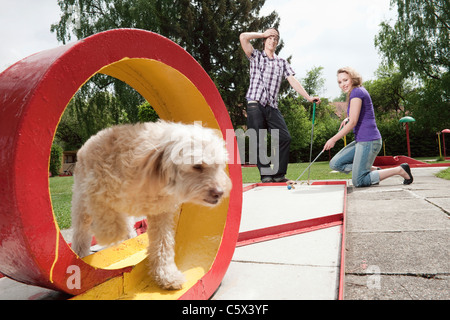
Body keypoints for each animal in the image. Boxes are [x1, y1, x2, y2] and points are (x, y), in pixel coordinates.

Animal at [71, 120, 232, 290]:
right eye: (197, 166)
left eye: (218, 166)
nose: (219, 192)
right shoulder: (95, 187)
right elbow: (107, 218)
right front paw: (107, 234)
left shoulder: (160, 213)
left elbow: (163, 244)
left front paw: (167, 275)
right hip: (81, 203)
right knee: (82, 231)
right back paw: (81, 253)